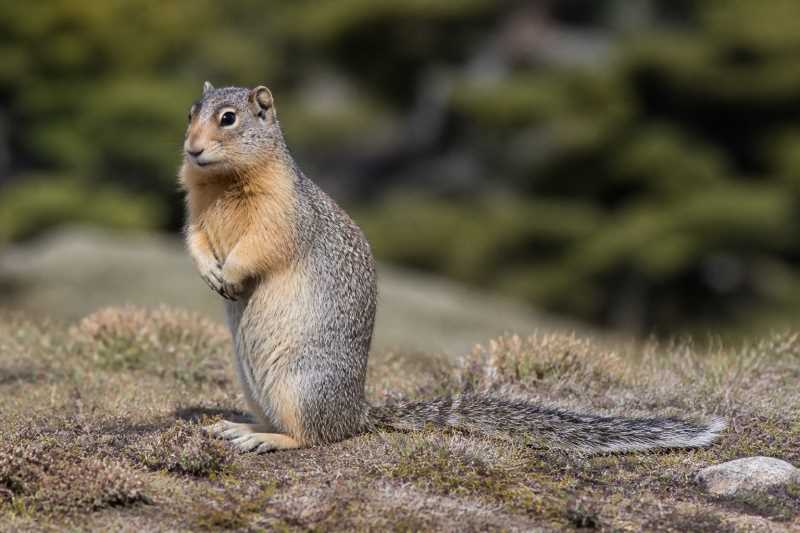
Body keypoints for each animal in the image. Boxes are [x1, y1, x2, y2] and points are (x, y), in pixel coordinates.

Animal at [179, 82, 725, 454]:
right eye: (191, 112)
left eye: (228, 118)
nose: (191, 148)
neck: (223, 182)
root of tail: (359, 412)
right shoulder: (197, 214)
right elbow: (196, 241)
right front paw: (210, 273)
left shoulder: (280, 213)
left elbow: (260, 246)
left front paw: (230, 274)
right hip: (256, 385)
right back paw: (239, 426)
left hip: (300, 385)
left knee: (316, 436)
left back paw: (267, 439)